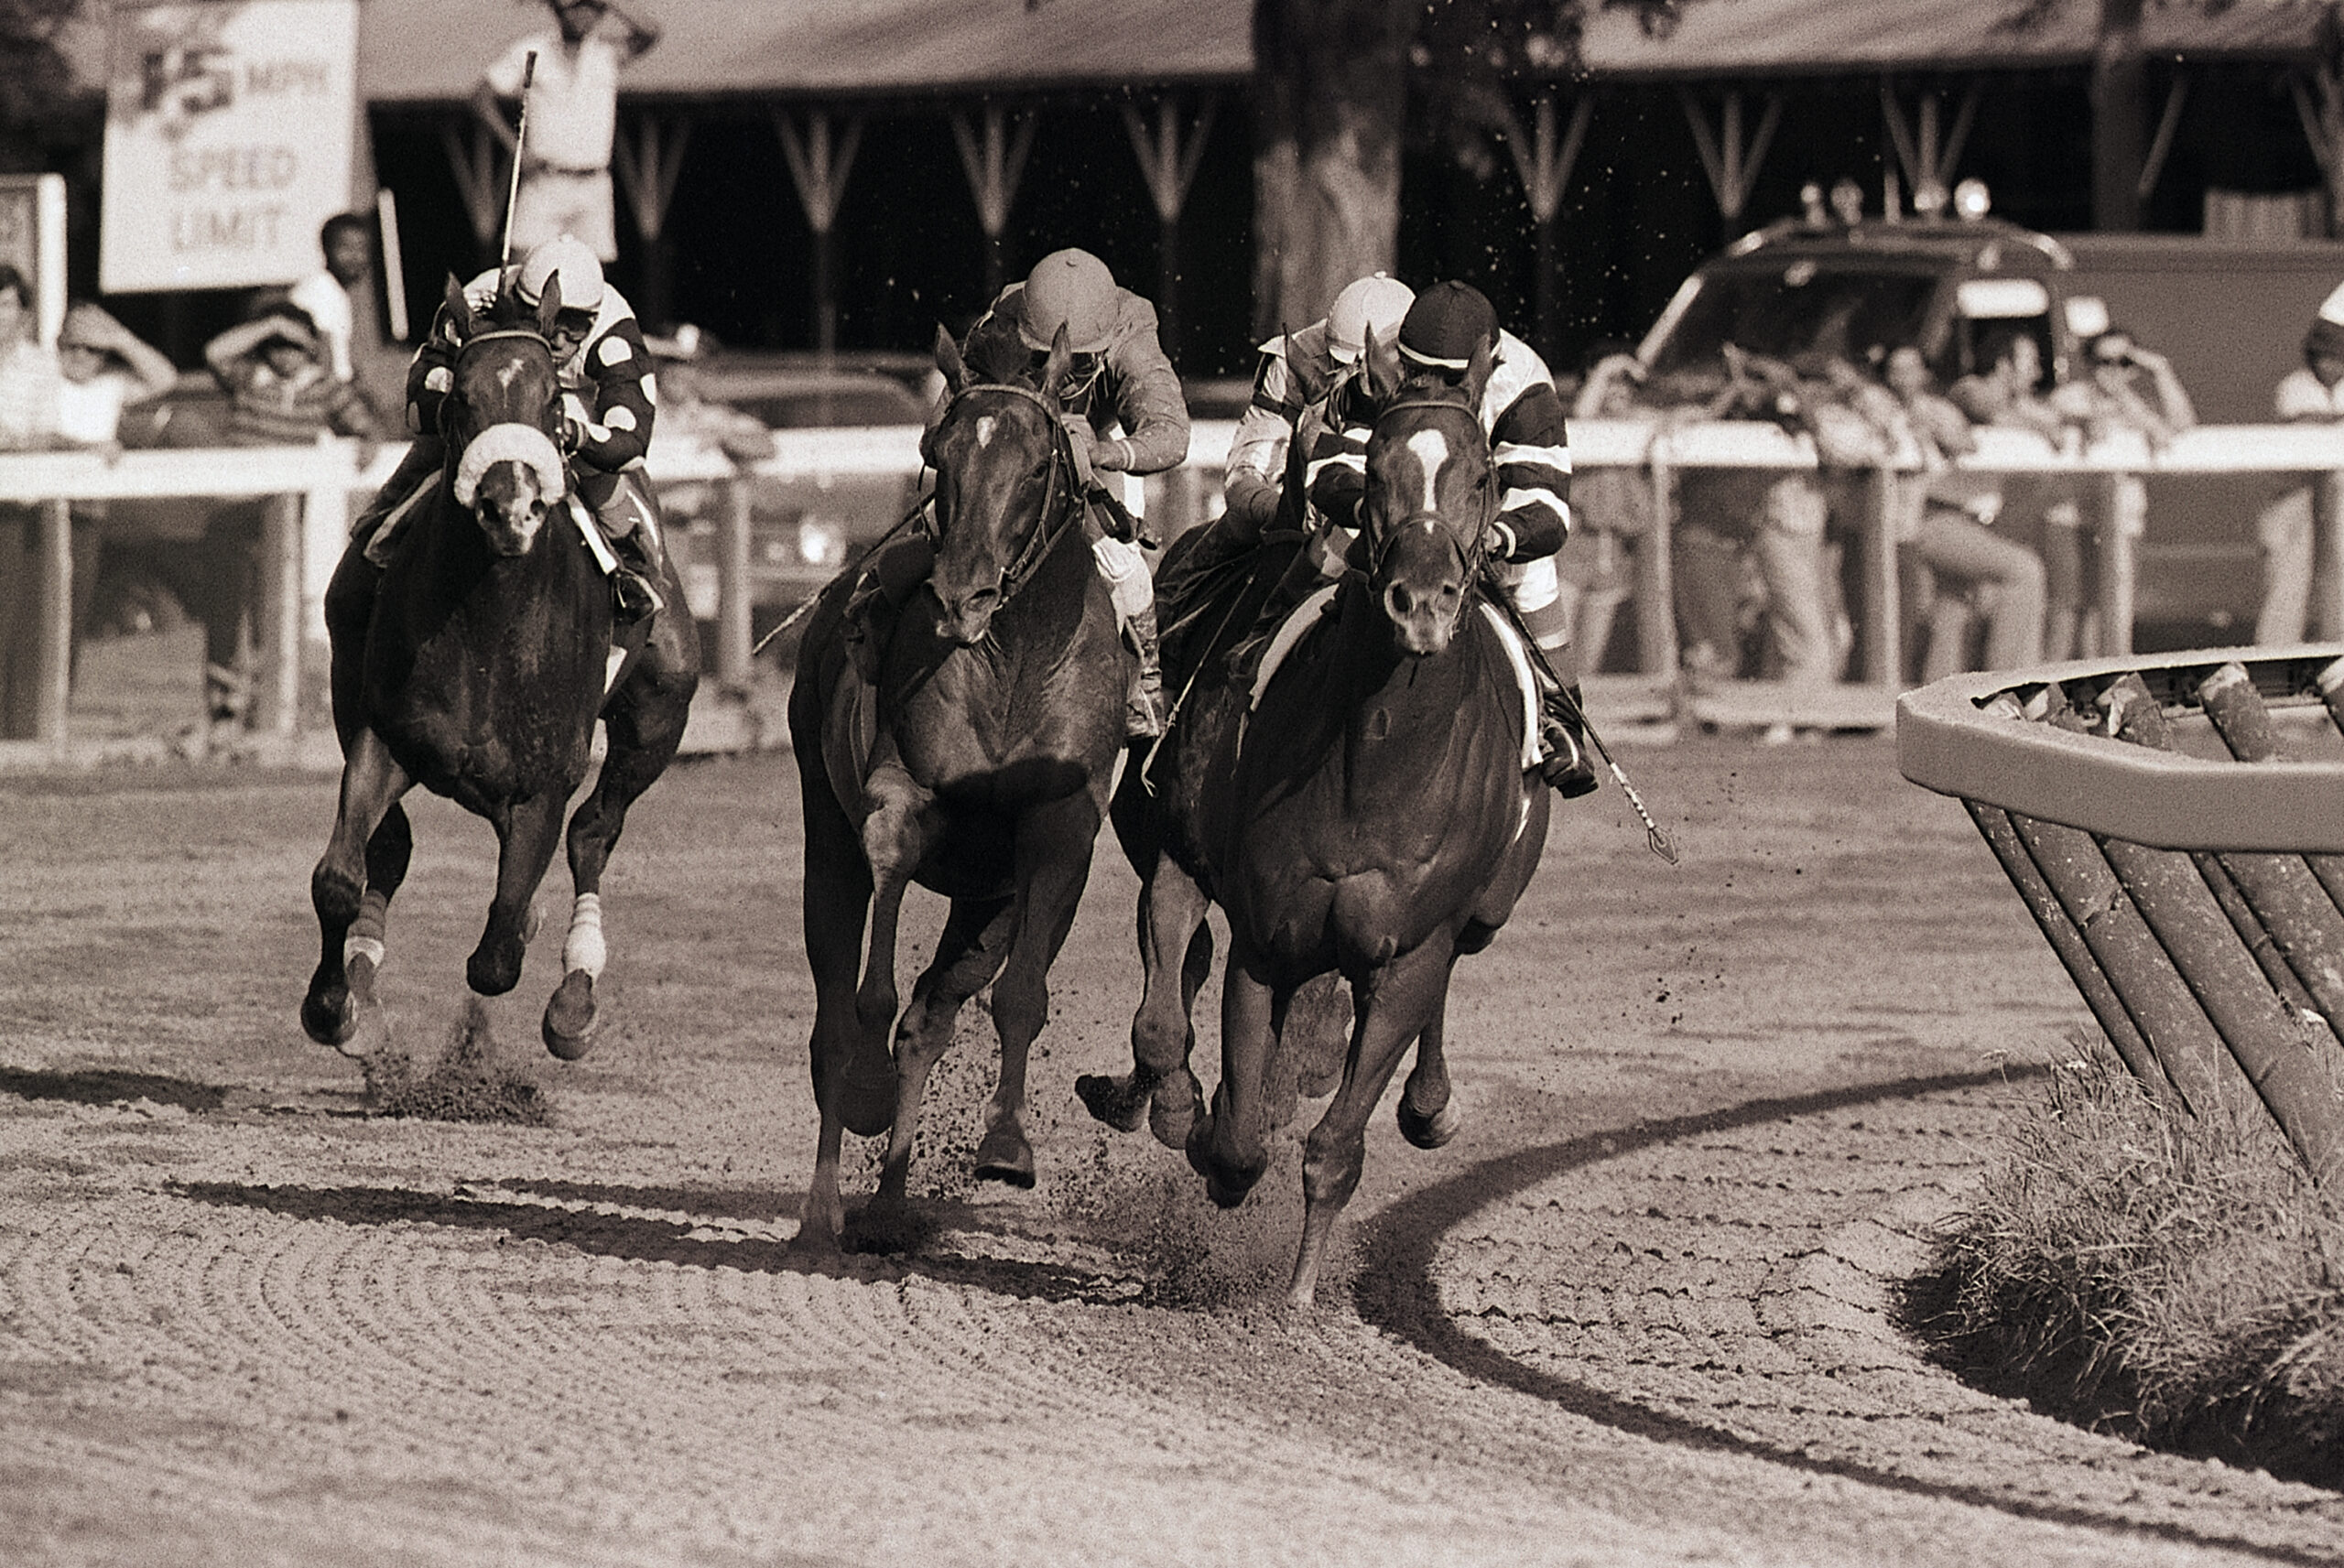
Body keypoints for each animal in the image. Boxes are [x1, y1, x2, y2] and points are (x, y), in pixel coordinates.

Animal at [298, 277, 693, 1064]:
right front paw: (335, 1008)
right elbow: (342, 876)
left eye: (552, 402)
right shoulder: (384, 739)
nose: (510, 508)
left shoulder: (543, 785)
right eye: (462, 399)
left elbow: (499, 951)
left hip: (659, 712)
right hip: (348, 686)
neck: (489, 627)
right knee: (392, 846)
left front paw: (533, 933)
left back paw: (575, 997)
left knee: (594, 832)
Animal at [783, 319, 1129, 1247]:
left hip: (987, 900)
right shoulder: (901, 790)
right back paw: (827, 1203)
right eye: (939, 454)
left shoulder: (1057, 829)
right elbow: (878, 940)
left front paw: (1006, 1143)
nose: (960, 596)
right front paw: (869, 1076)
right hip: (822, 836)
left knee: (935, 1016)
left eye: (1039, 465)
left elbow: (1019, 995)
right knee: (835, 1016)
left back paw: (891, 1201)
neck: (1012, 662)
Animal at [1087, 332, 1546, 1312]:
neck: (1378, 764)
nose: (1422, 600)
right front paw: (1202, 1124)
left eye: (1484, 476)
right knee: (1181, 968)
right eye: (1373, 470)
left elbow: (1337, 1141)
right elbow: (1232, 1129)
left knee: (1442, 980)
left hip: (1483, 912)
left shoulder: (1407, 952)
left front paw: (1298, 1296)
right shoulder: (1272, 935)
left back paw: (1427, 1104)